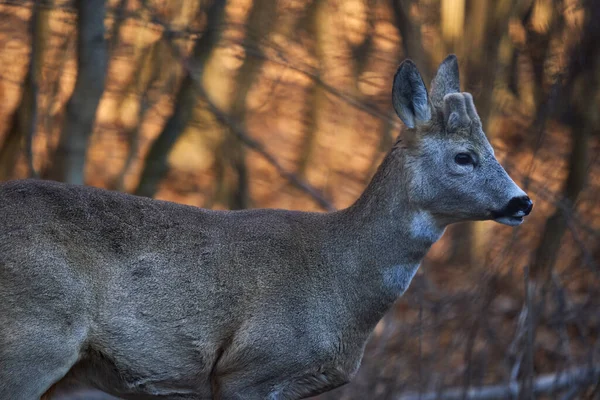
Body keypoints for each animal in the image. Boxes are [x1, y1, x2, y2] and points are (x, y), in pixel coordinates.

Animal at [1, 54, 536, 400]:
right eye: (464, 156)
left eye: (492, 149)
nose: (523, 201)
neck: (340, 279)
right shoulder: (251, 368)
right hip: (33, 340)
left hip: (71, 373)